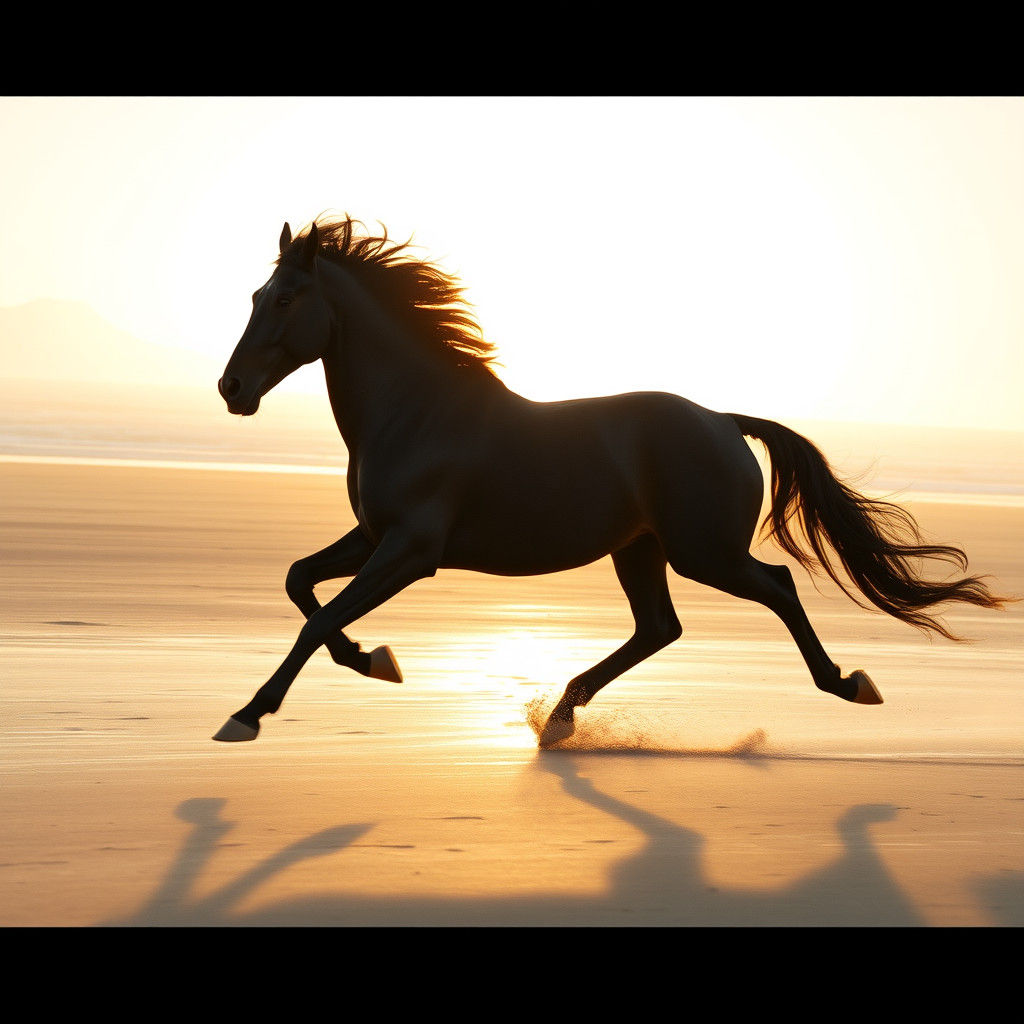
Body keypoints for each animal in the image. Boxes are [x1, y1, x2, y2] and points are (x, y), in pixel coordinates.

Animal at [213, 216, 1006, 746]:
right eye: (254, 294)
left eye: (283, 300)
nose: (231, 388)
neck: (416, 411)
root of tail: (723, 421)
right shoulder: (374, 536)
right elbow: (300, 583)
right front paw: (375, 661)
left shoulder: (410, 551)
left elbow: (319, 616)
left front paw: (246, 715)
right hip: (640, 548)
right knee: (660, 626)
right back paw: (562, 715)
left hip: (702, 552)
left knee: (775, 588)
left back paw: (847, 683)